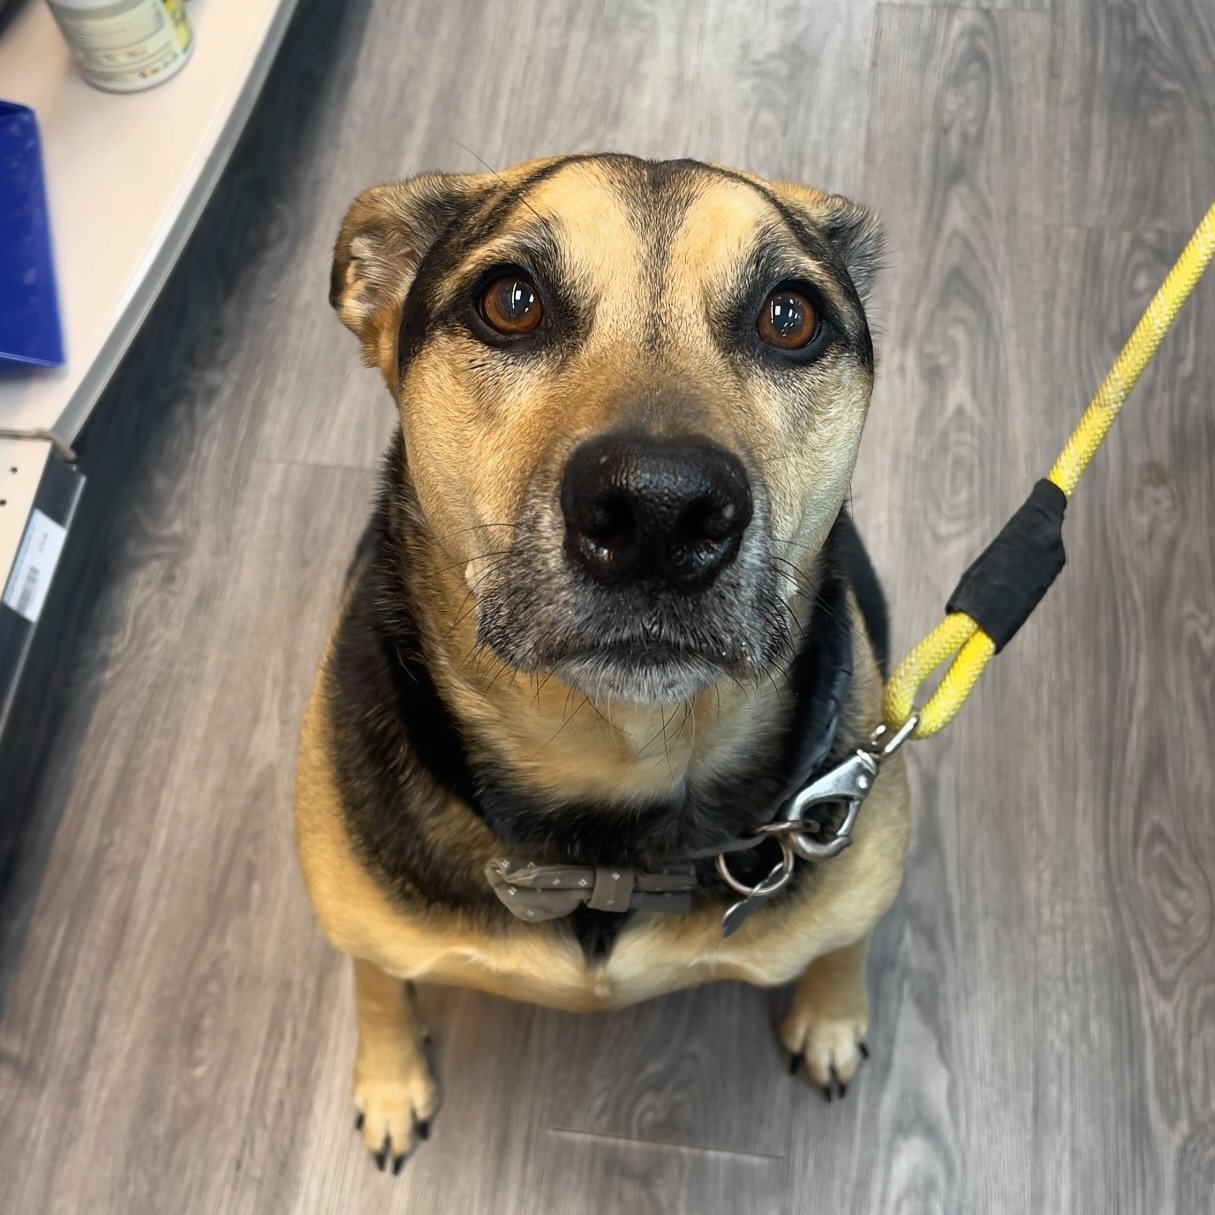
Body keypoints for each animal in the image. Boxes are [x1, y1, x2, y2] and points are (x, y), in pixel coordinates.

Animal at [289, 151, 908, 1166]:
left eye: (790, 316)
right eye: (510, 301)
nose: (661, 510)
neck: (612, 784)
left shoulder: (856, 856)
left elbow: (843, 944)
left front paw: (829, 1017)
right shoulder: (361, 915)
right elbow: (375, 981)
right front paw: (389, 1079)